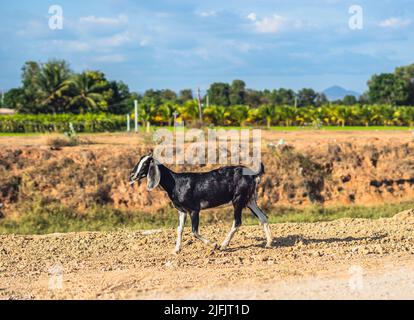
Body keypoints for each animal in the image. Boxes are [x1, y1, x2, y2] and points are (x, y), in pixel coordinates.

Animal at [129, 154, 272, 254]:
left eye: (145, 164)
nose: (132, 175)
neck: (176, 182)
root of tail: (253, 175)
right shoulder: (182, 210)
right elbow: (179, 229)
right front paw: (176, 250)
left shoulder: (194, 209)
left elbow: (194, 231)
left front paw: (214, 244)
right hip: (250, 200)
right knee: (263, 217)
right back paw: (269, 243)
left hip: (238, 199)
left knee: (237, 222)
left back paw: (223, 245)